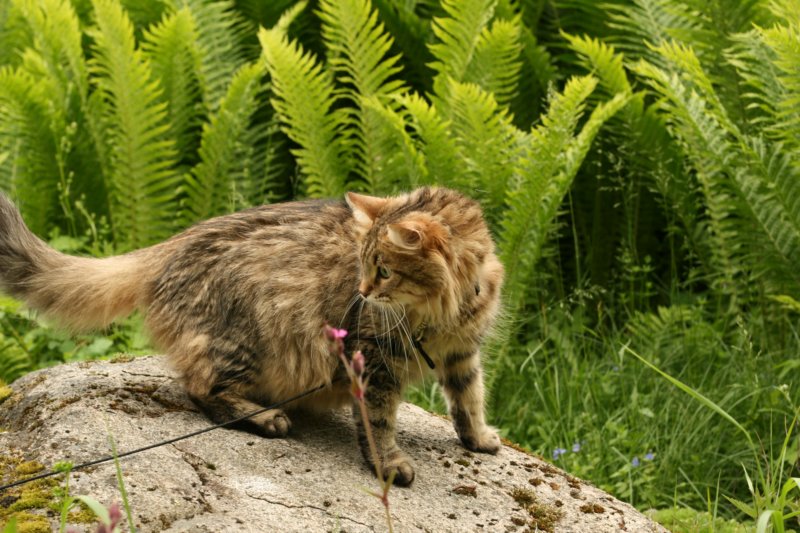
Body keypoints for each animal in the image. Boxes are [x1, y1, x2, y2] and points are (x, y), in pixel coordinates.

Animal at [0, 187, 504, 485]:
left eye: (382, 270)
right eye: (363, 266)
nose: (362, 292)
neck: (444, 312)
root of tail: (170, 246)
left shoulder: (463, 352)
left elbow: (469, 398)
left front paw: (478, 438)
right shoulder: (374, 359)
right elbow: (379, 423)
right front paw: (390, 463)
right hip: (250, 339)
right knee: (202, 389)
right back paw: (265, 418)